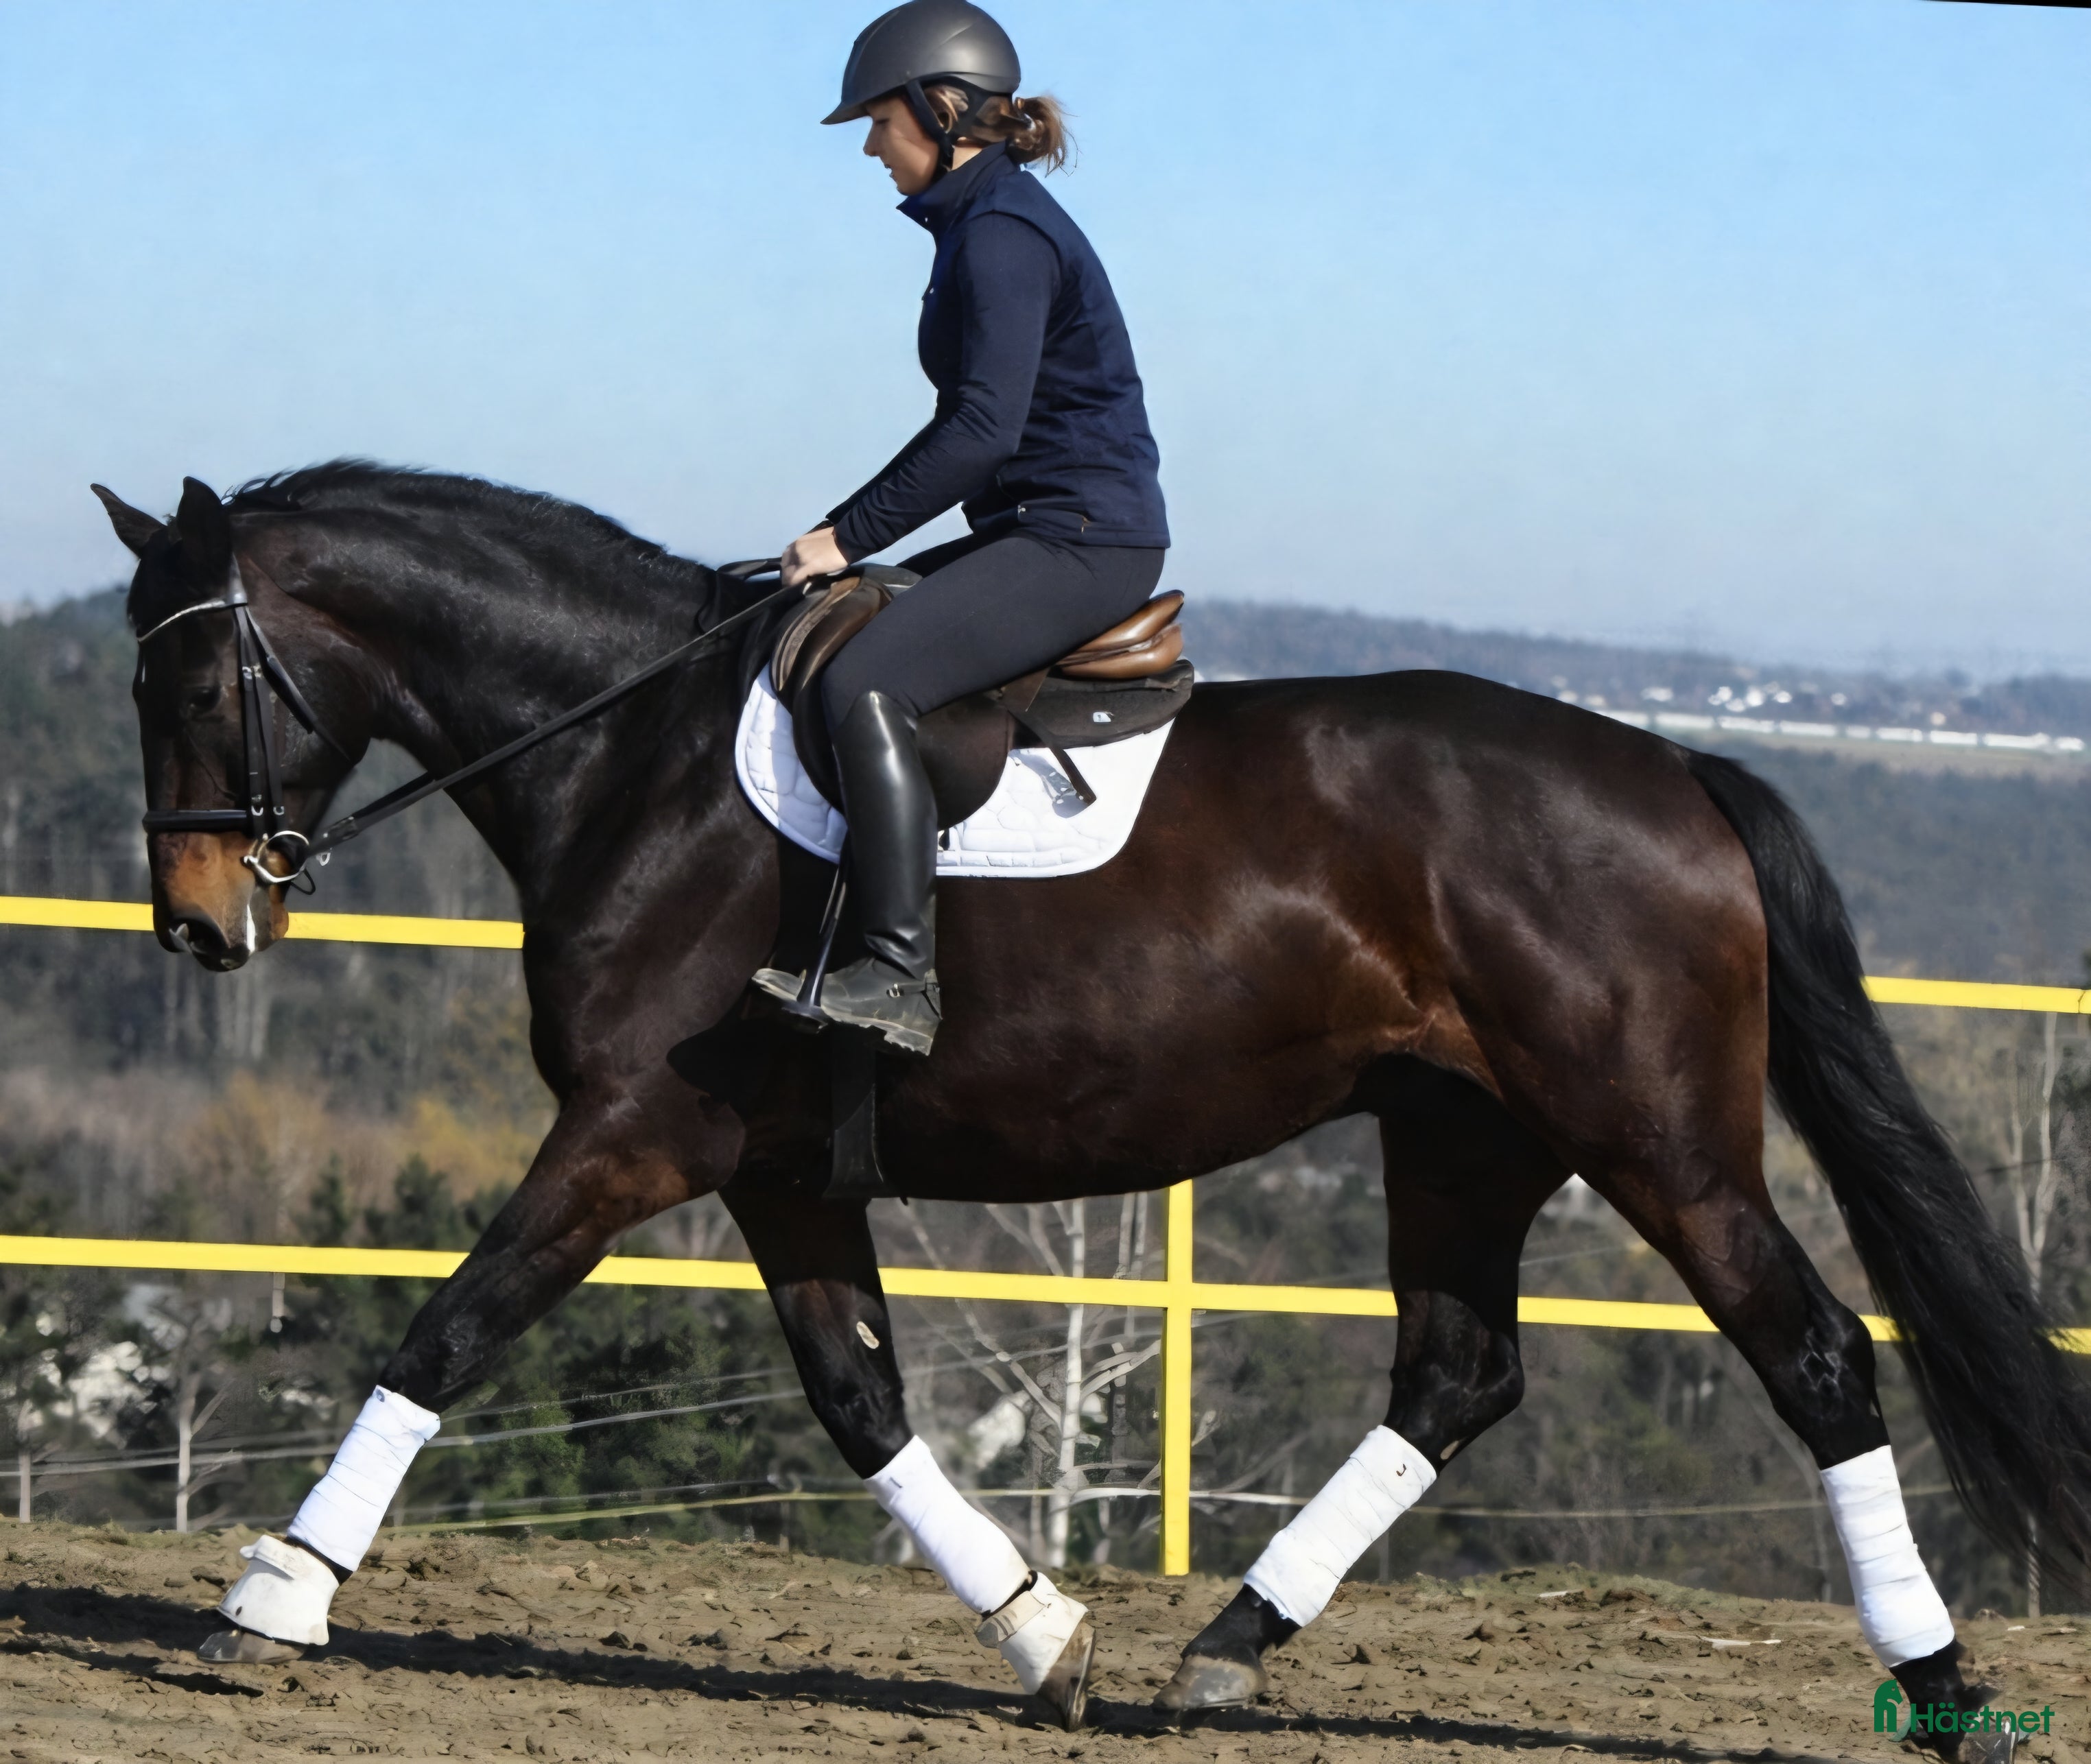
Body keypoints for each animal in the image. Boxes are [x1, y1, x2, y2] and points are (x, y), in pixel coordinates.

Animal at [96, 464, 2088, 1751]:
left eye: (190, 675)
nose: (196, 925)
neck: (631, 758)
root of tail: (1674, 766)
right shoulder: (779, 1171)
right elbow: (859, 1396)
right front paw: (1045, 1634)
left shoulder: (627, 1135)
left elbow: (448, 1330)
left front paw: (269, 1595)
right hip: (1463, 1135)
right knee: (1455, 1375)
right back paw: (1227, 1648)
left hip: (1652, 1137)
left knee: (1813, 1353)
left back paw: (1939, 1684)